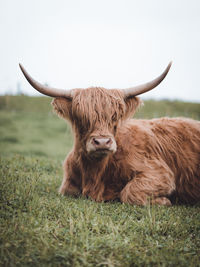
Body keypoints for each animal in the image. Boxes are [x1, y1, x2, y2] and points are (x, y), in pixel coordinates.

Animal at [19, 63, 200, 207]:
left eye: (115, 117)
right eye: (82, 117)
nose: (102, 142)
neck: (94, 173)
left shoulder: (160, 173)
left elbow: (129, 193)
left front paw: (164, 201)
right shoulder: (68, 185)